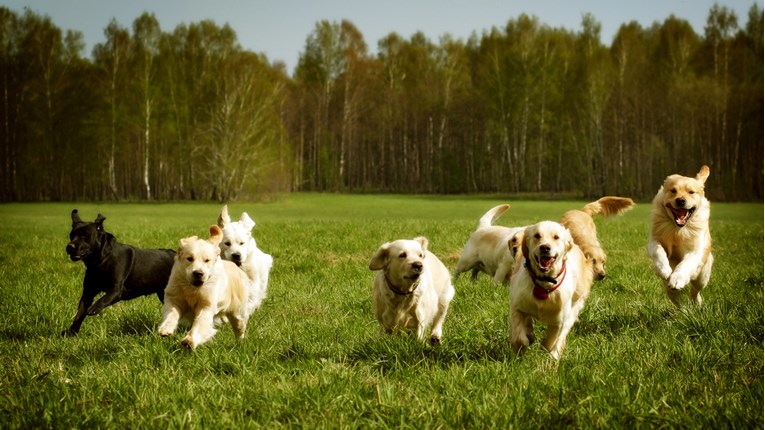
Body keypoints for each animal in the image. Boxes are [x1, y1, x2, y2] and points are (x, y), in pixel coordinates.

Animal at [63, 210, 176, 338]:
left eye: (85, 235)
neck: (100, 261)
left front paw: (93, 308)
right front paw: (71, 332)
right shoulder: (88, 292)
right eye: (71, 235)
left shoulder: (116, 290)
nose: (70, 246)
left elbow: (103, 299)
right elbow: (80, 314)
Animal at [510, 222, 592, 360]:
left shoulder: (558, 320)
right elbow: (519, 336)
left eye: (556, 237)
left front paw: (548, 354)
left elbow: (549, 341)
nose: (545, 248)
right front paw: (523, 344)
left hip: (574, 309)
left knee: (562, 336)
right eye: (537, 235)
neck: (544, 284)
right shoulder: (517, 306)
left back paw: (555, 356)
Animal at [648, 164, 712, 306]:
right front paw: (664, 270)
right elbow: (658, 251)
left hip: (702, 278)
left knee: (695, 291)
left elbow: (685, 264)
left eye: (691, 192)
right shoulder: (653, 241)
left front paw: (677, 279)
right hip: (669, 291)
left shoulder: (694, 251)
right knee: (679, 303)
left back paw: (697, 303)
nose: (681, 200)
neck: (677, 229)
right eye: (673, 191)